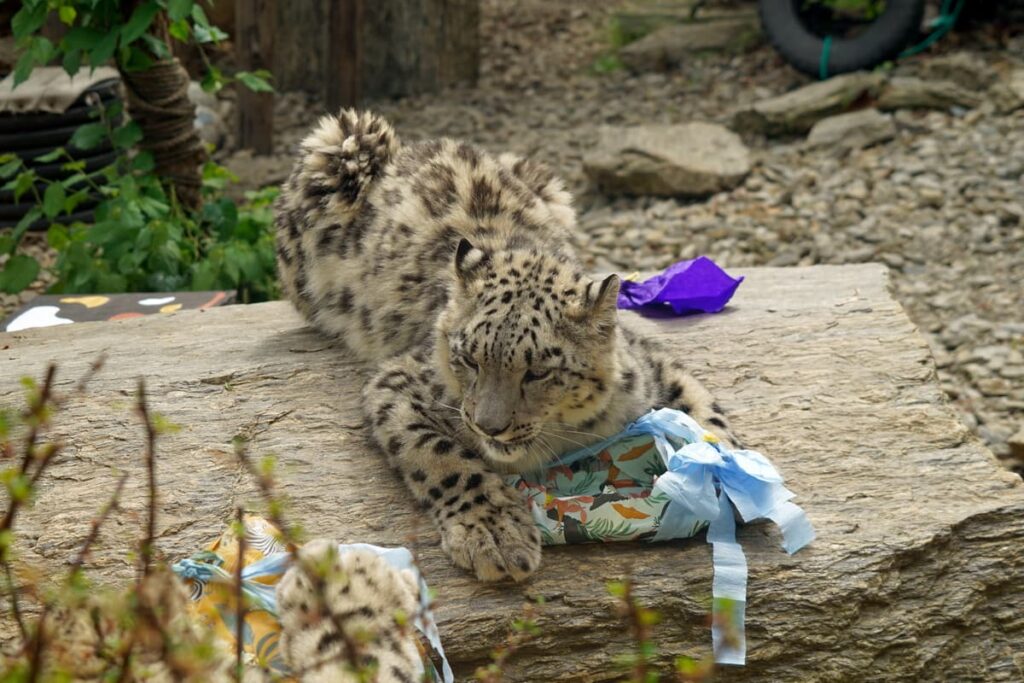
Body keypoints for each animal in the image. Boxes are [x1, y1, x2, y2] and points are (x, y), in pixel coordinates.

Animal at [272, 111, 737, 581]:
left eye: (539, 371)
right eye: (467, 359)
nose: (488, 426)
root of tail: (404, 148)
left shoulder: (652, 367)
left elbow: (706, 414)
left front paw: (727, 470)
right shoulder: (400, 383)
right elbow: (440, 456)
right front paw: (495, 534)